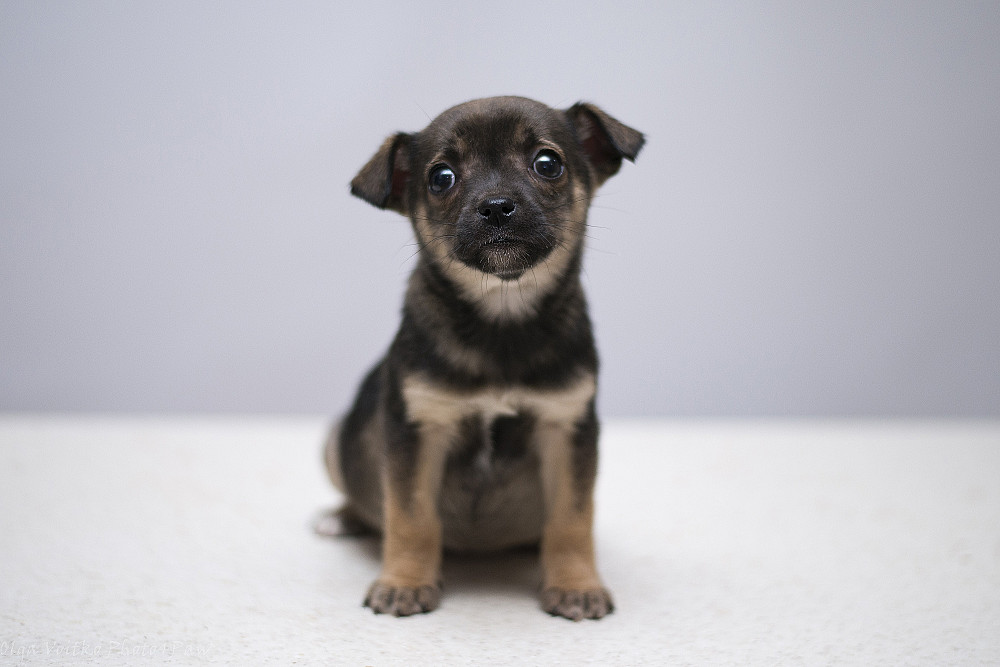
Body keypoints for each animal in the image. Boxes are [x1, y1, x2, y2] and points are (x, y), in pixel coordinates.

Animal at [324, 95, 644, 620]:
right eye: (441, 177)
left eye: (548, 163)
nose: (496, 207)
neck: (501, 318)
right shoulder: (418, 429)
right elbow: (410, 516)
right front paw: (404, 583)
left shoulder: (567, 427)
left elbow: (572, 520)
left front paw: (576, 585)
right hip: (337, 440)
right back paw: (342, 517)